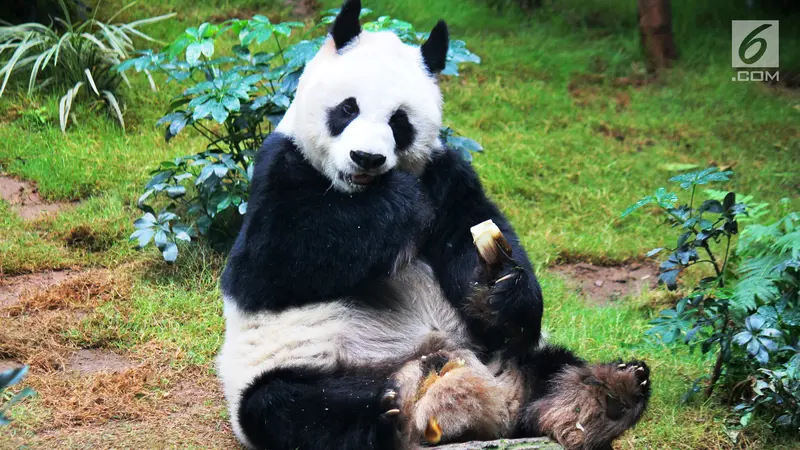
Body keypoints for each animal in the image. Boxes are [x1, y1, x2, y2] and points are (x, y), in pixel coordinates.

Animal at [219, 0, 648, 450]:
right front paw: (399, 201)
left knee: (549, 366)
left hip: (496, 355)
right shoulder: (281, 166)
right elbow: (275, 259)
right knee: (289, 408)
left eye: (399, 122)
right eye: (348, 108)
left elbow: (474, 240)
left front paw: (499, 287)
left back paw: (603, 397)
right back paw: (382, 413)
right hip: (293, 367)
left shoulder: (446, 175)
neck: (356, 192)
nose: (366, 158)